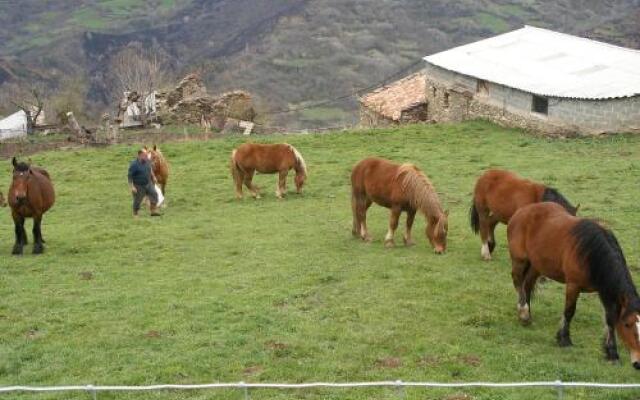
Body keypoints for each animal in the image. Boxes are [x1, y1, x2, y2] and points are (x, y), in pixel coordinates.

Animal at [510, 203, 640, 368]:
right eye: (627, 324)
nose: (638, 363)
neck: (590, 253)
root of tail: (522, 211)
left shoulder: (604, 290)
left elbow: (610, 319)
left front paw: (612, 353)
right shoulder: (573, 285)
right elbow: (569, 312)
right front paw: (564, 339)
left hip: (536, 266)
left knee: (527, 286)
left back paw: (528, 315)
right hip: (519, 260)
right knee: (518, 283)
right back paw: (524, 312)